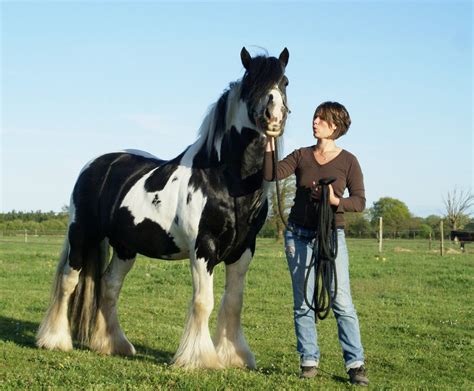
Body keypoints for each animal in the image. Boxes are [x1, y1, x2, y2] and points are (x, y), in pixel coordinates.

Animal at [36, 47, 288, 370]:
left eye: (284, 82)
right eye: (249, 82)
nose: (274, 116)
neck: (223, 179)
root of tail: (97, 164)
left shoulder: (243, 250)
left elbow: (234, 302)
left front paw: (234, 356)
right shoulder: (203, 248)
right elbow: (203, 301)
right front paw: (199, 359)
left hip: (125, 247)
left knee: (109, 286)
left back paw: (113, 345)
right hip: (82, 235)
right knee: (69, 281)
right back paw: (54, 340)